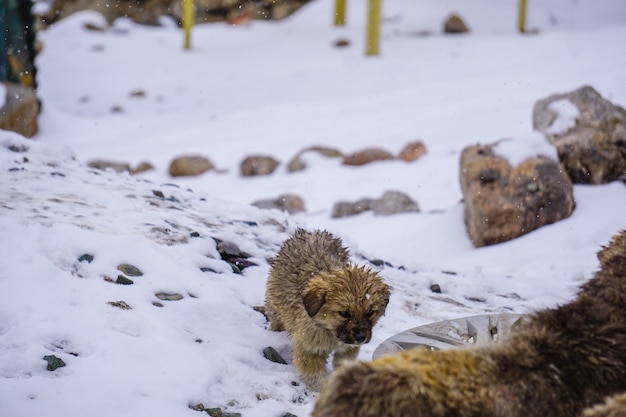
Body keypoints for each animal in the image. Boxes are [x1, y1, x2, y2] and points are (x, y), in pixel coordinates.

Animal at [264, 228, 390, 390]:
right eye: (344, 313)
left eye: (370, 312)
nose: (360, 337)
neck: (330, 331)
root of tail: (308, 232)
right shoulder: (308, 347)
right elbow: (315, 375)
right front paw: (323, 389)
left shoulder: (348, 349)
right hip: (274, 300)